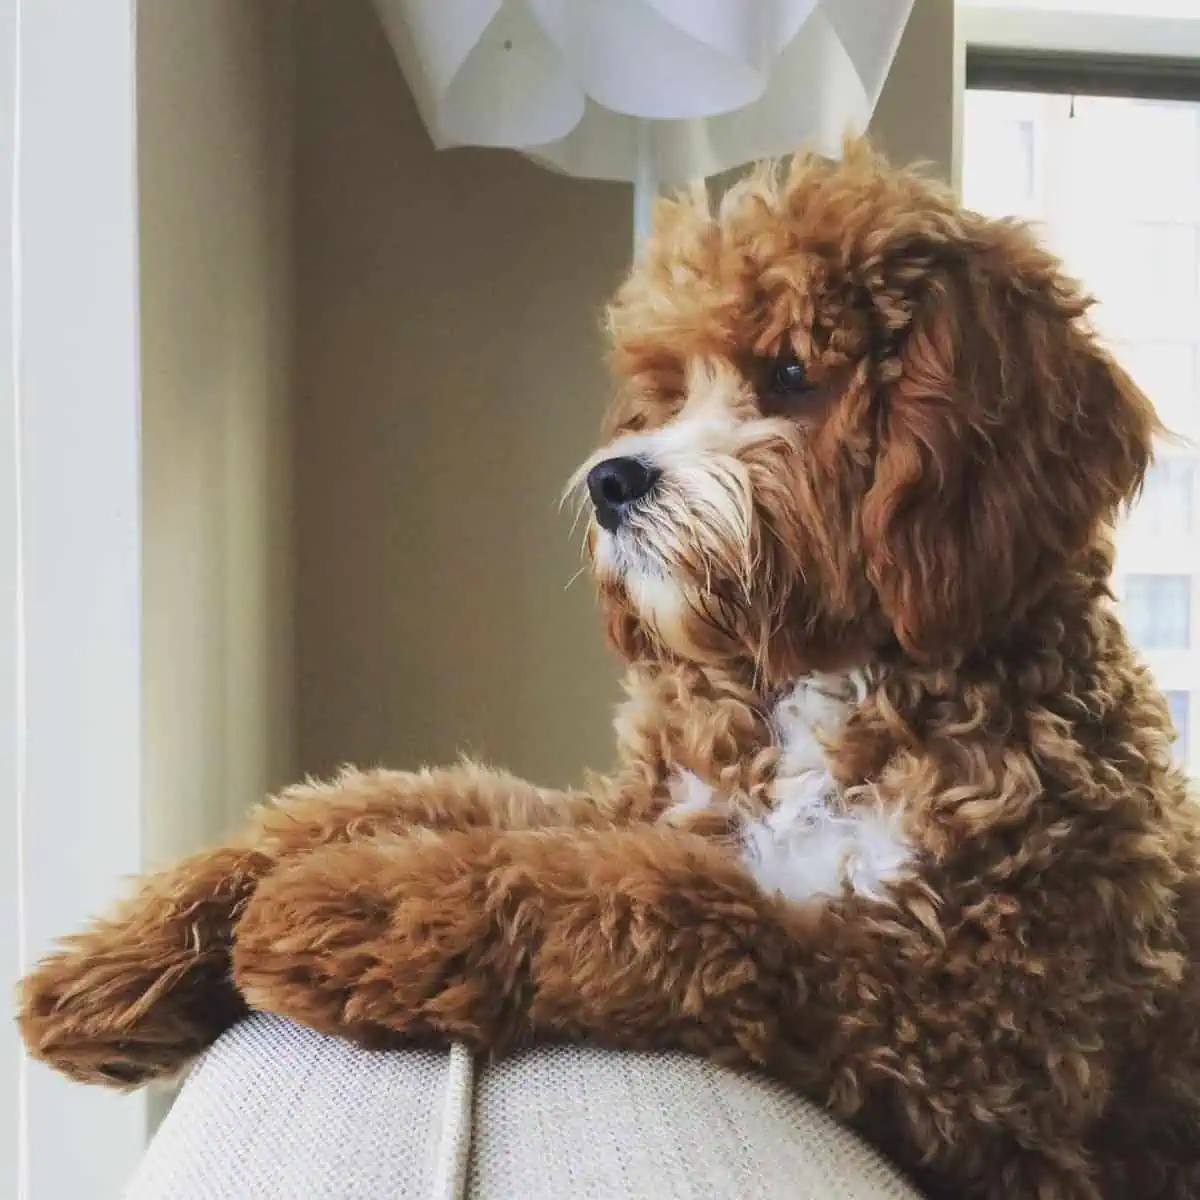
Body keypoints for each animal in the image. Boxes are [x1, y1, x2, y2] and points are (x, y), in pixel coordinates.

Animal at [18, 142, 1200, 1200]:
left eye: (790, 375)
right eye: (666, 390)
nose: (612, 482)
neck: (821, 690)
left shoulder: (967, 1039)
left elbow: (665, 903)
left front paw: (356, 912)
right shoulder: (651, 806)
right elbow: (396, 798)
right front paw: (125, 959)